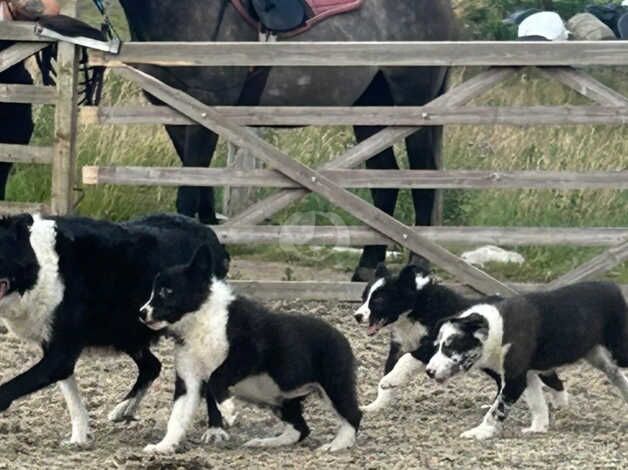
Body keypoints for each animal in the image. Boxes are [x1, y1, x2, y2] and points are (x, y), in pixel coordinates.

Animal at [0, 213, 228, 444]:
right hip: (127, 333)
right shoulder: (56, 353)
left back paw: (215, 429)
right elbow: (73, 400)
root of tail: (210, 236)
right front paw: (78, 439)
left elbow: (9, 388)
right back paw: (124, 408)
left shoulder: (60, 355)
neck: (40, 264)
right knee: (152, 365)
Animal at [118, 0, 456, 280]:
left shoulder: (203, 112)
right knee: (385, 184)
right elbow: (203, 192)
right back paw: (366, 267)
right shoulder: (176, 116)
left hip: (415, 110)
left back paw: (418, 267)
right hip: (372, 109)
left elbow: (188, 193)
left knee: (424, 182)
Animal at [139, 244, 360, 454]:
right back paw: (266, 442)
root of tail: (341, 336)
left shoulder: (248, 353)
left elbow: (216, 377)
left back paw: (338, 444)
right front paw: (163, 446)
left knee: (354, 415)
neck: (201, 321)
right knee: (300, 428)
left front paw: (228, 409)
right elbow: (177, 418)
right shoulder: (188, 379)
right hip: (284, 399)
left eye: (166, 291)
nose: (141, 313)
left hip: (334, 385)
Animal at [356, 264, 568, 414]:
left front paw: (390, 380)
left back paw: (561, 403)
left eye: (379, 300)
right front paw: (376, 405)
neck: (416, 308)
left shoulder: (432, 345)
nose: (357, 316)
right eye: (364, 297)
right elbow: (392, 367)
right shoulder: (399, 346)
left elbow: (406, 360)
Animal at [426, 282, 628, 440]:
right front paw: (538, 428)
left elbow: (497, 409)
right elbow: (537, 403)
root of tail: (613, 286)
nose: (429, 371)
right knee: (616, 375)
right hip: (598, 356)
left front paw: (481, 431)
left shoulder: (515, 379)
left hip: (619, 350)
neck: (499, 329)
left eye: (450, 347)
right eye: (437, 346)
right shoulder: (527, 375)